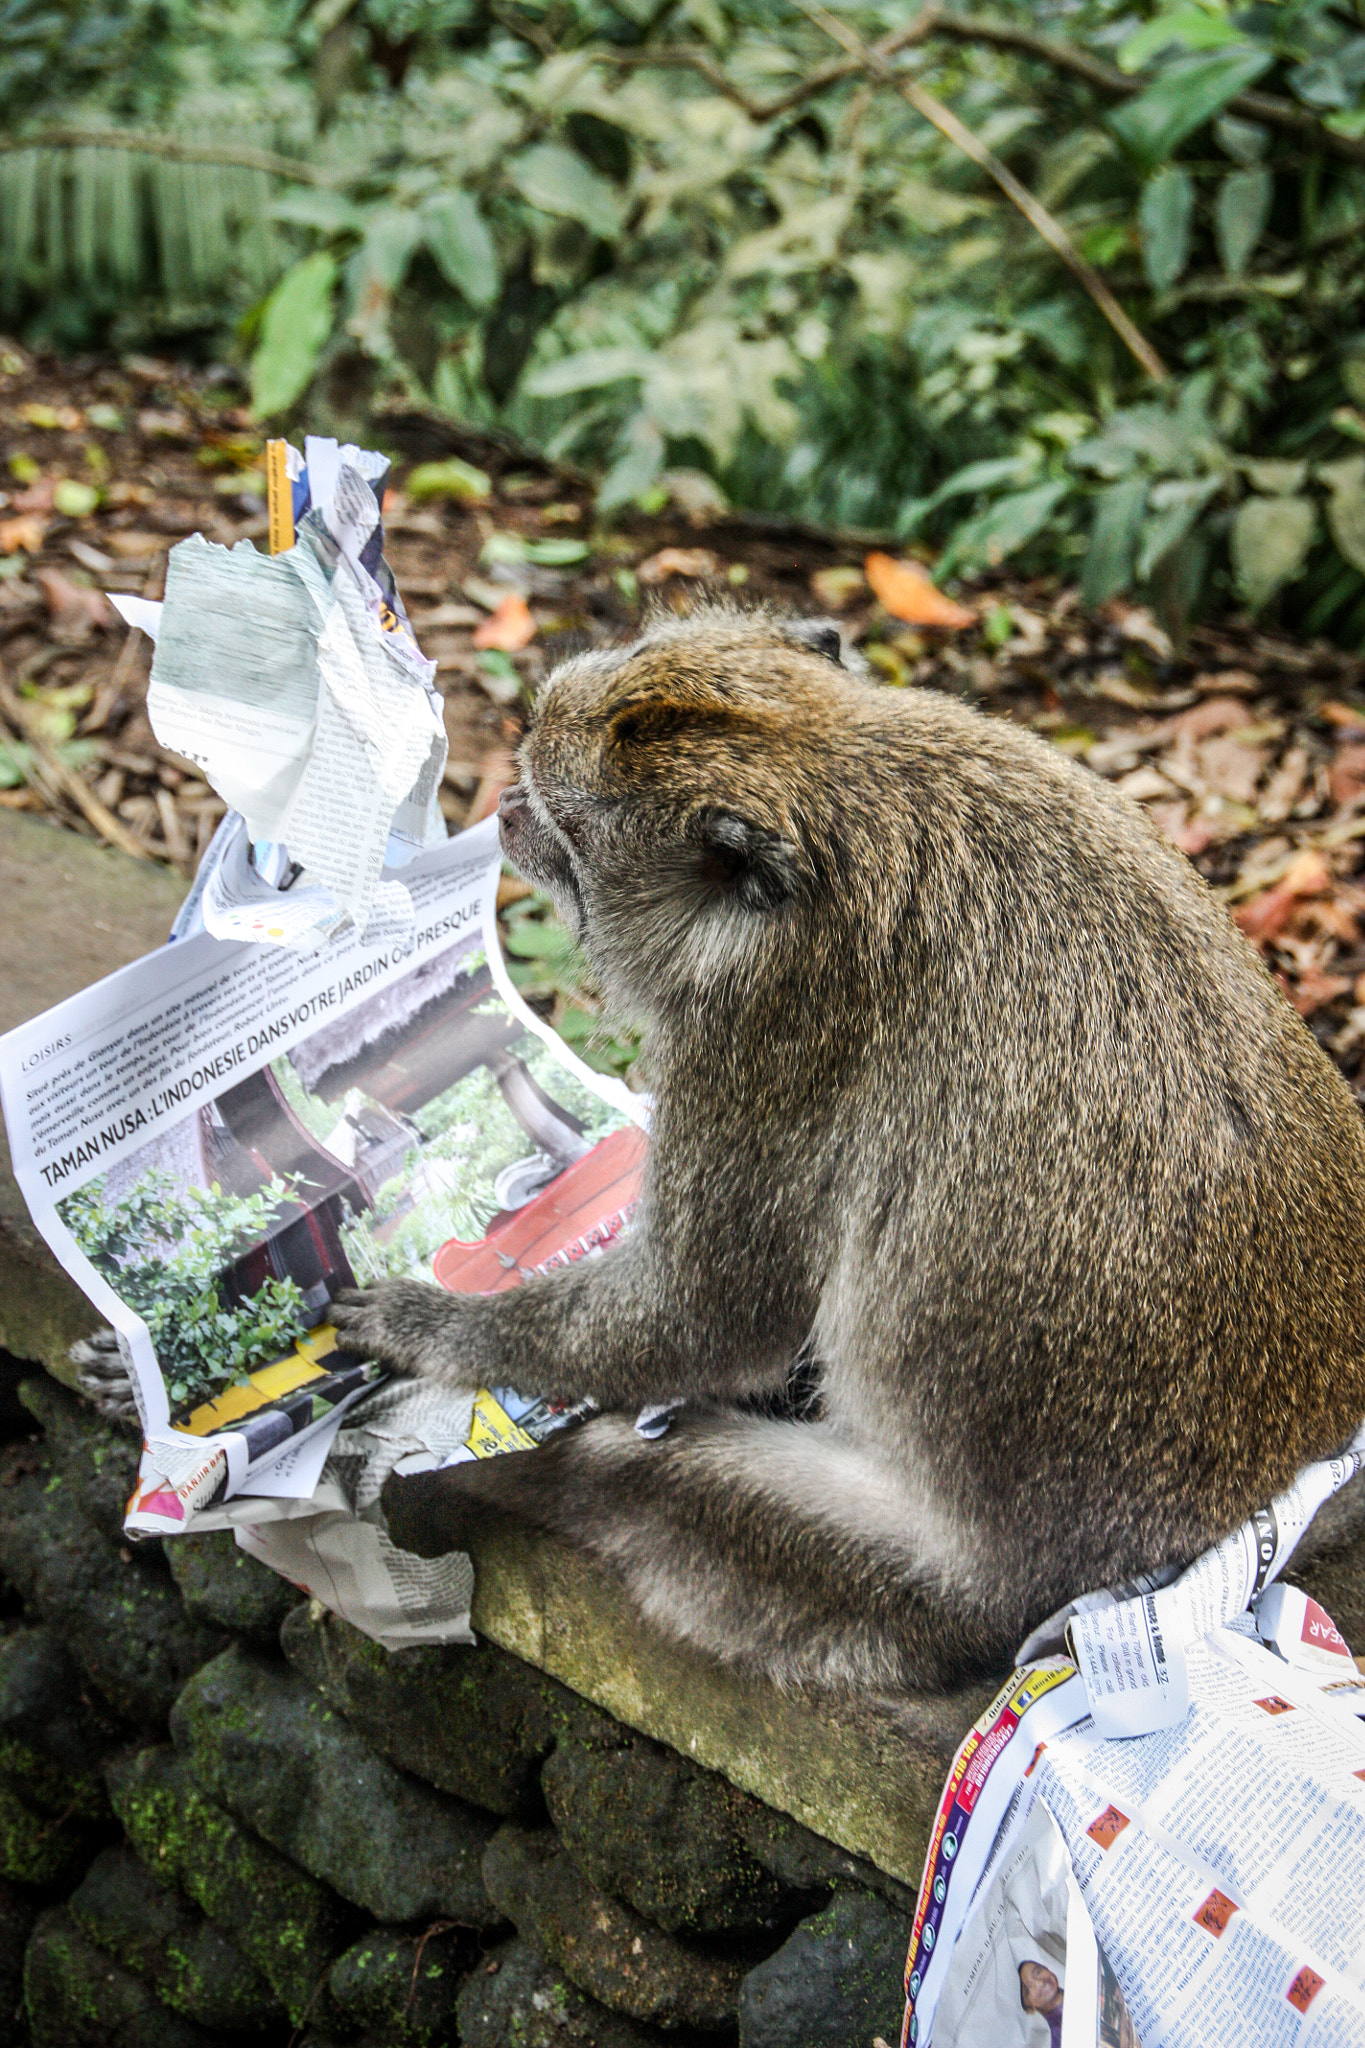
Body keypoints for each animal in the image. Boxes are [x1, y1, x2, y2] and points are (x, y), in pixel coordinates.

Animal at [330, 605, 1365, 1695]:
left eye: (567, 820)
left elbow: (705, 1311)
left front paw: (435, 1328)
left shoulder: (764, 1030)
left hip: (939, 1590)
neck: (840, 769)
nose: (506, 798)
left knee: (639, 1477)